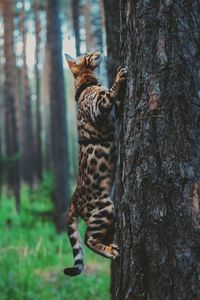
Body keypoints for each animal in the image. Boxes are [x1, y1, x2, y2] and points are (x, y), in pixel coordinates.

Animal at [64, 49, 126, 276]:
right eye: (86, 54)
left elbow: (116, 103)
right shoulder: (98, 107)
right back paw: (109, 250)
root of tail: (73, 198)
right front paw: (119, 77)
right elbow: (109, 94)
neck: (85, 84)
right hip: (103, 208)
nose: (97, 51)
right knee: (88, 239)